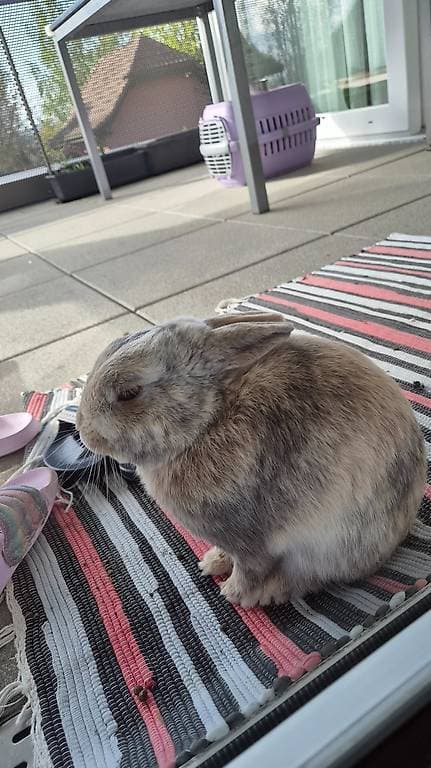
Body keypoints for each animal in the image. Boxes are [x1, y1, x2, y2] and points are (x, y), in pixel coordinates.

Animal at [76, 313, 427, 608]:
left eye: (129, 392)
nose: (83, 431)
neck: (207, 423)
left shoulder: (250, 542)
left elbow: (250, 569)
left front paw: (232, 593)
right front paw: (212, 563)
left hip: (330, 544)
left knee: (313, 577)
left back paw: (270, 593)